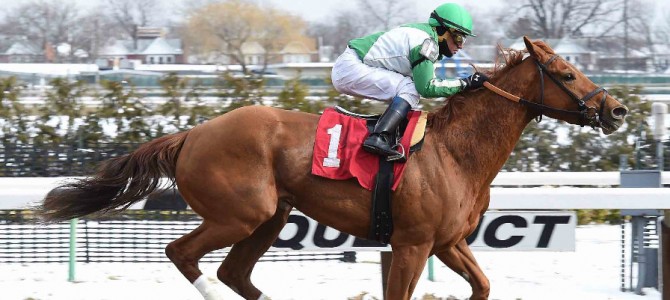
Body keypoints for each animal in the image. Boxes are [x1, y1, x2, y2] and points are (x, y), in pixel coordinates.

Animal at [40, 36, 632, 298]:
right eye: (566, 73)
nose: (616, 110)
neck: (455, 152)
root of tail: (192, 133)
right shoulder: (412, 244)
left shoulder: (446, 242)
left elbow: (483, 285)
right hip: (240, 214)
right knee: (183, 255)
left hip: (272, 217)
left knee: (235, 273)